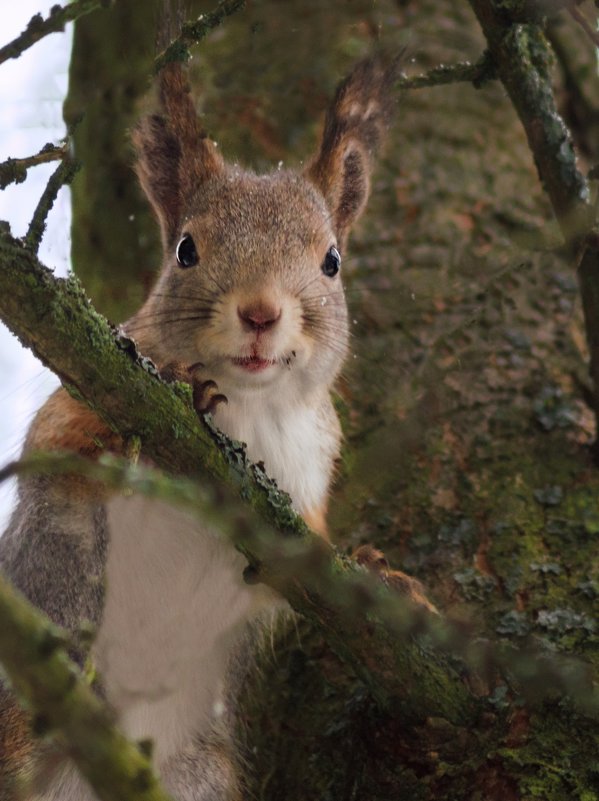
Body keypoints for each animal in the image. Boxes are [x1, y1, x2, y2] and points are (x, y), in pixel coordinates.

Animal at [0, 56, 408, 800]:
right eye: (186, 250)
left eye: (332, 261)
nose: (260, 312)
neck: (252, 407)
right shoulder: (74, 406)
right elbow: (74, 446)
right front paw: (185, 394)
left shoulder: (307, 486)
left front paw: (380, 576)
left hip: (197, 772)